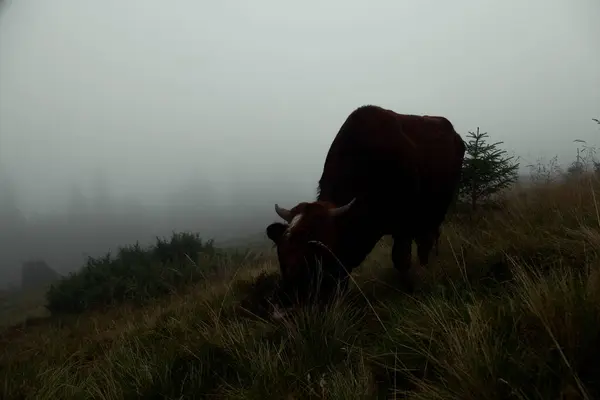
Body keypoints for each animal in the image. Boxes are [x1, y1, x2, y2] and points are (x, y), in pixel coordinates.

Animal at [264, 104, 466, 304]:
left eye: (319, 252)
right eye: (281, 253)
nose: (291, 297)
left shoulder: (404, 223)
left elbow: (401, 258)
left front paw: (410, 289)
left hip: (438, 207)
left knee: (427, 239)